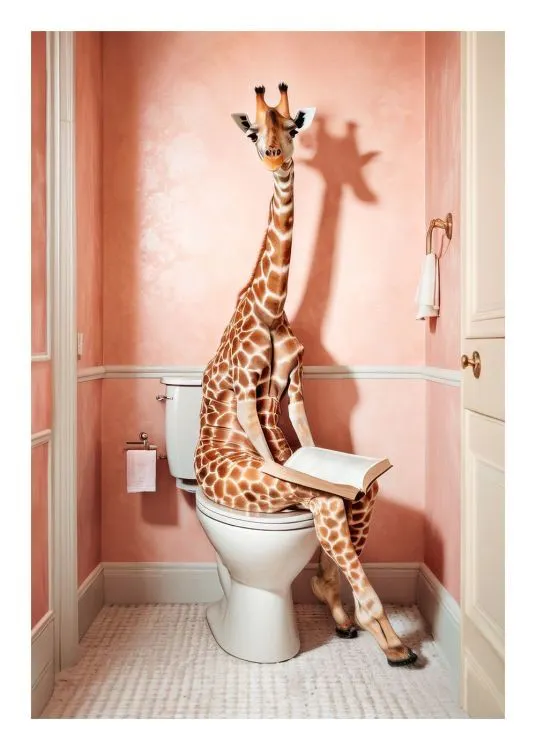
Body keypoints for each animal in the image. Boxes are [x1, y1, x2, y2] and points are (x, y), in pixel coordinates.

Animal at [194, 84, 417, 667]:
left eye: (292, 127)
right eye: (254, 131)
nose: (274, 157)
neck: (271, 309)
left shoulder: (295, 389)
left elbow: (309, 437)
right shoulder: (246, 392)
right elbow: (285, 459)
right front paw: (396, 645)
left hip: (345, 491)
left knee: (356, 496)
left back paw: (336, 611)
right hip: (261, 490)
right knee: (324, 499)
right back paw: (383, 639)